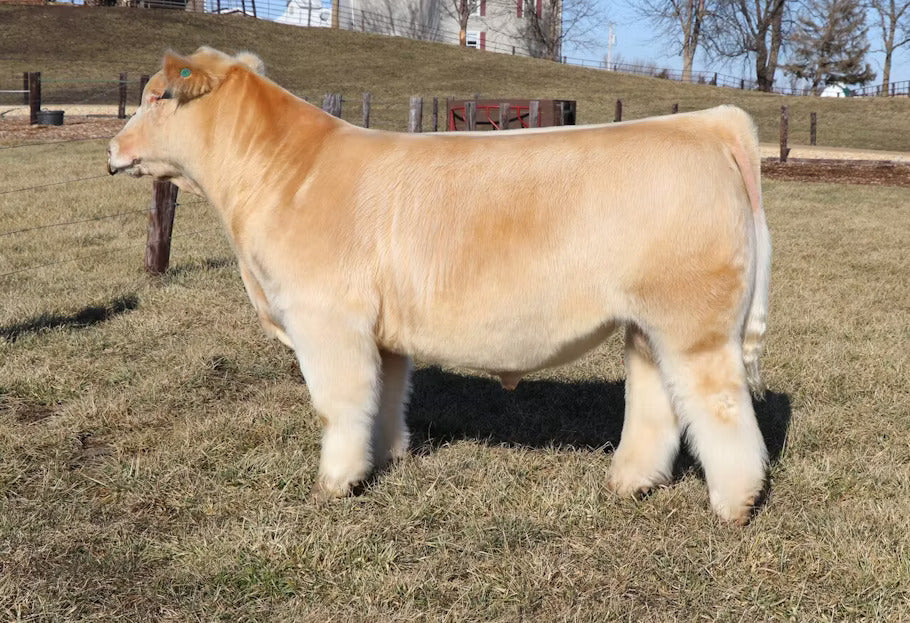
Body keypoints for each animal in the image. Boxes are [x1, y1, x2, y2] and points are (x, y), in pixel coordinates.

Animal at [108, 47, 772, 524]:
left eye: (154, 99)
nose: (111, 148)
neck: (287, 174)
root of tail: (708, 123)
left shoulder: (326, 320)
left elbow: (339, 402)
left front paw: (334, 483)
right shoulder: (380, 332)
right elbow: (384, 396)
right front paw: (382, 459)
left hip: (695, 326)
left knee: (720, 406)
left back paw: (734, 506)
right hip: (646, 326)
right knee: (657, 398)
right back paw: (630, 482)